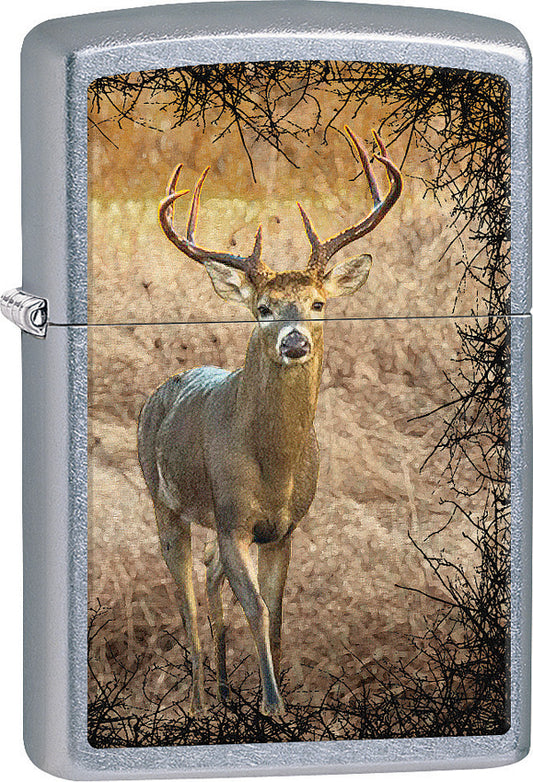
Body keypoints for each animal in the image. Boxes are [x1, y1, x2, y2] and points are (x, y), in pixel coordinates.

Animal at [137, 127, 402, 717]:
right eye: (263, 307)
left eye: (318, 302)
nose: (295, 342)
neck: (273, 466)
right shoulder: (233, 517)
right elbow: (256, 608)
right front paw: (271, 704)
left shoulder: (283, 528)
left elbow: (277, 615)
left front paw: (275, 702)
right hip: (164, 499)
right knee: (185, 598)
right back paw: (200, 699)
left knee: (208, 575)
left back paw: (220, 688)